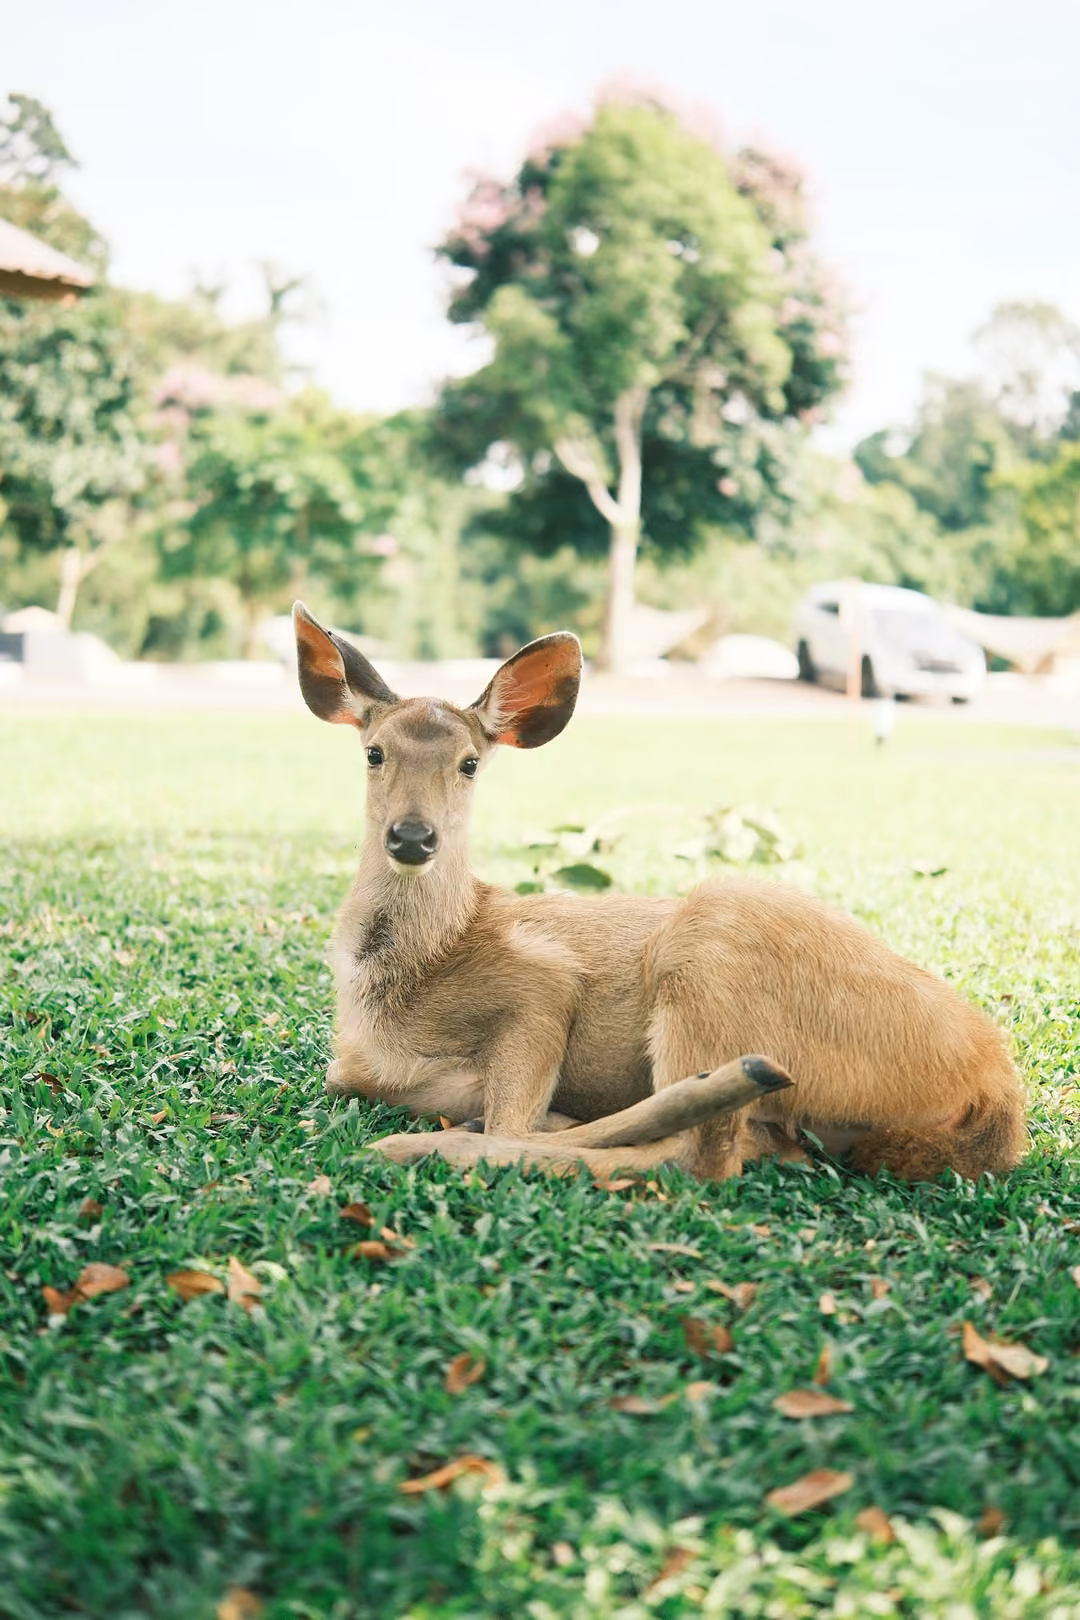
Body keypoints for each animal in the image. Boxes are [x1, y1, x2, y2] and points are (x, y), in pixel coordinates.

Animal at [292, 602, 1027, 1184]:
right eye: (374, 753)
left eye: (469, 763)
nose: (414, 837)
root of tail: (993, 1089)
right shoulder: (357, 1061)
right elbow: (345, 1076)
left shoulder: (543, 982)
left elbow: (512, 1109)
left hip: (710, 956)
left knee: (696, 1155)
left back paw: (420, 1145)